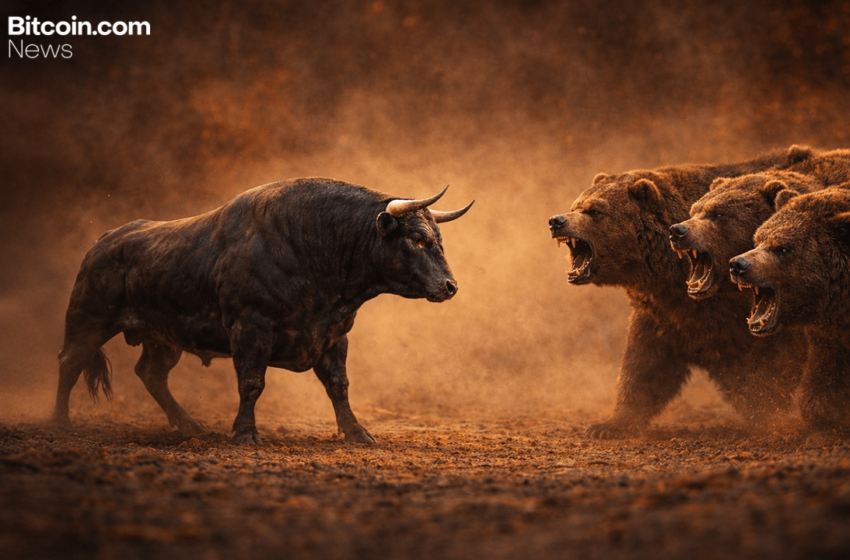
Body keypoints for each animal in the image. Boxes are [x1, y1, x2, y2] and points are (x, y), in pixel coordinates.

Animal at [52, 178, 473, 445]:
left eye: (437, 239)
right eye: (416, 239)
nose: (450, 286)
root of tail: (105, 241)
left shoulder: (335, 333)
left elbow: (339, 385)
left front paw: (357, 433)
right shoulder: (250, 328)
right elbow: (252, 382)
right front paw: (245, 434)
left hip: (163, 337)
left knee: (151, 373)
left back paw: (190, 426)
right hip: (88, 319)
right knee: (70, 363)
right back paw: (60, 423)